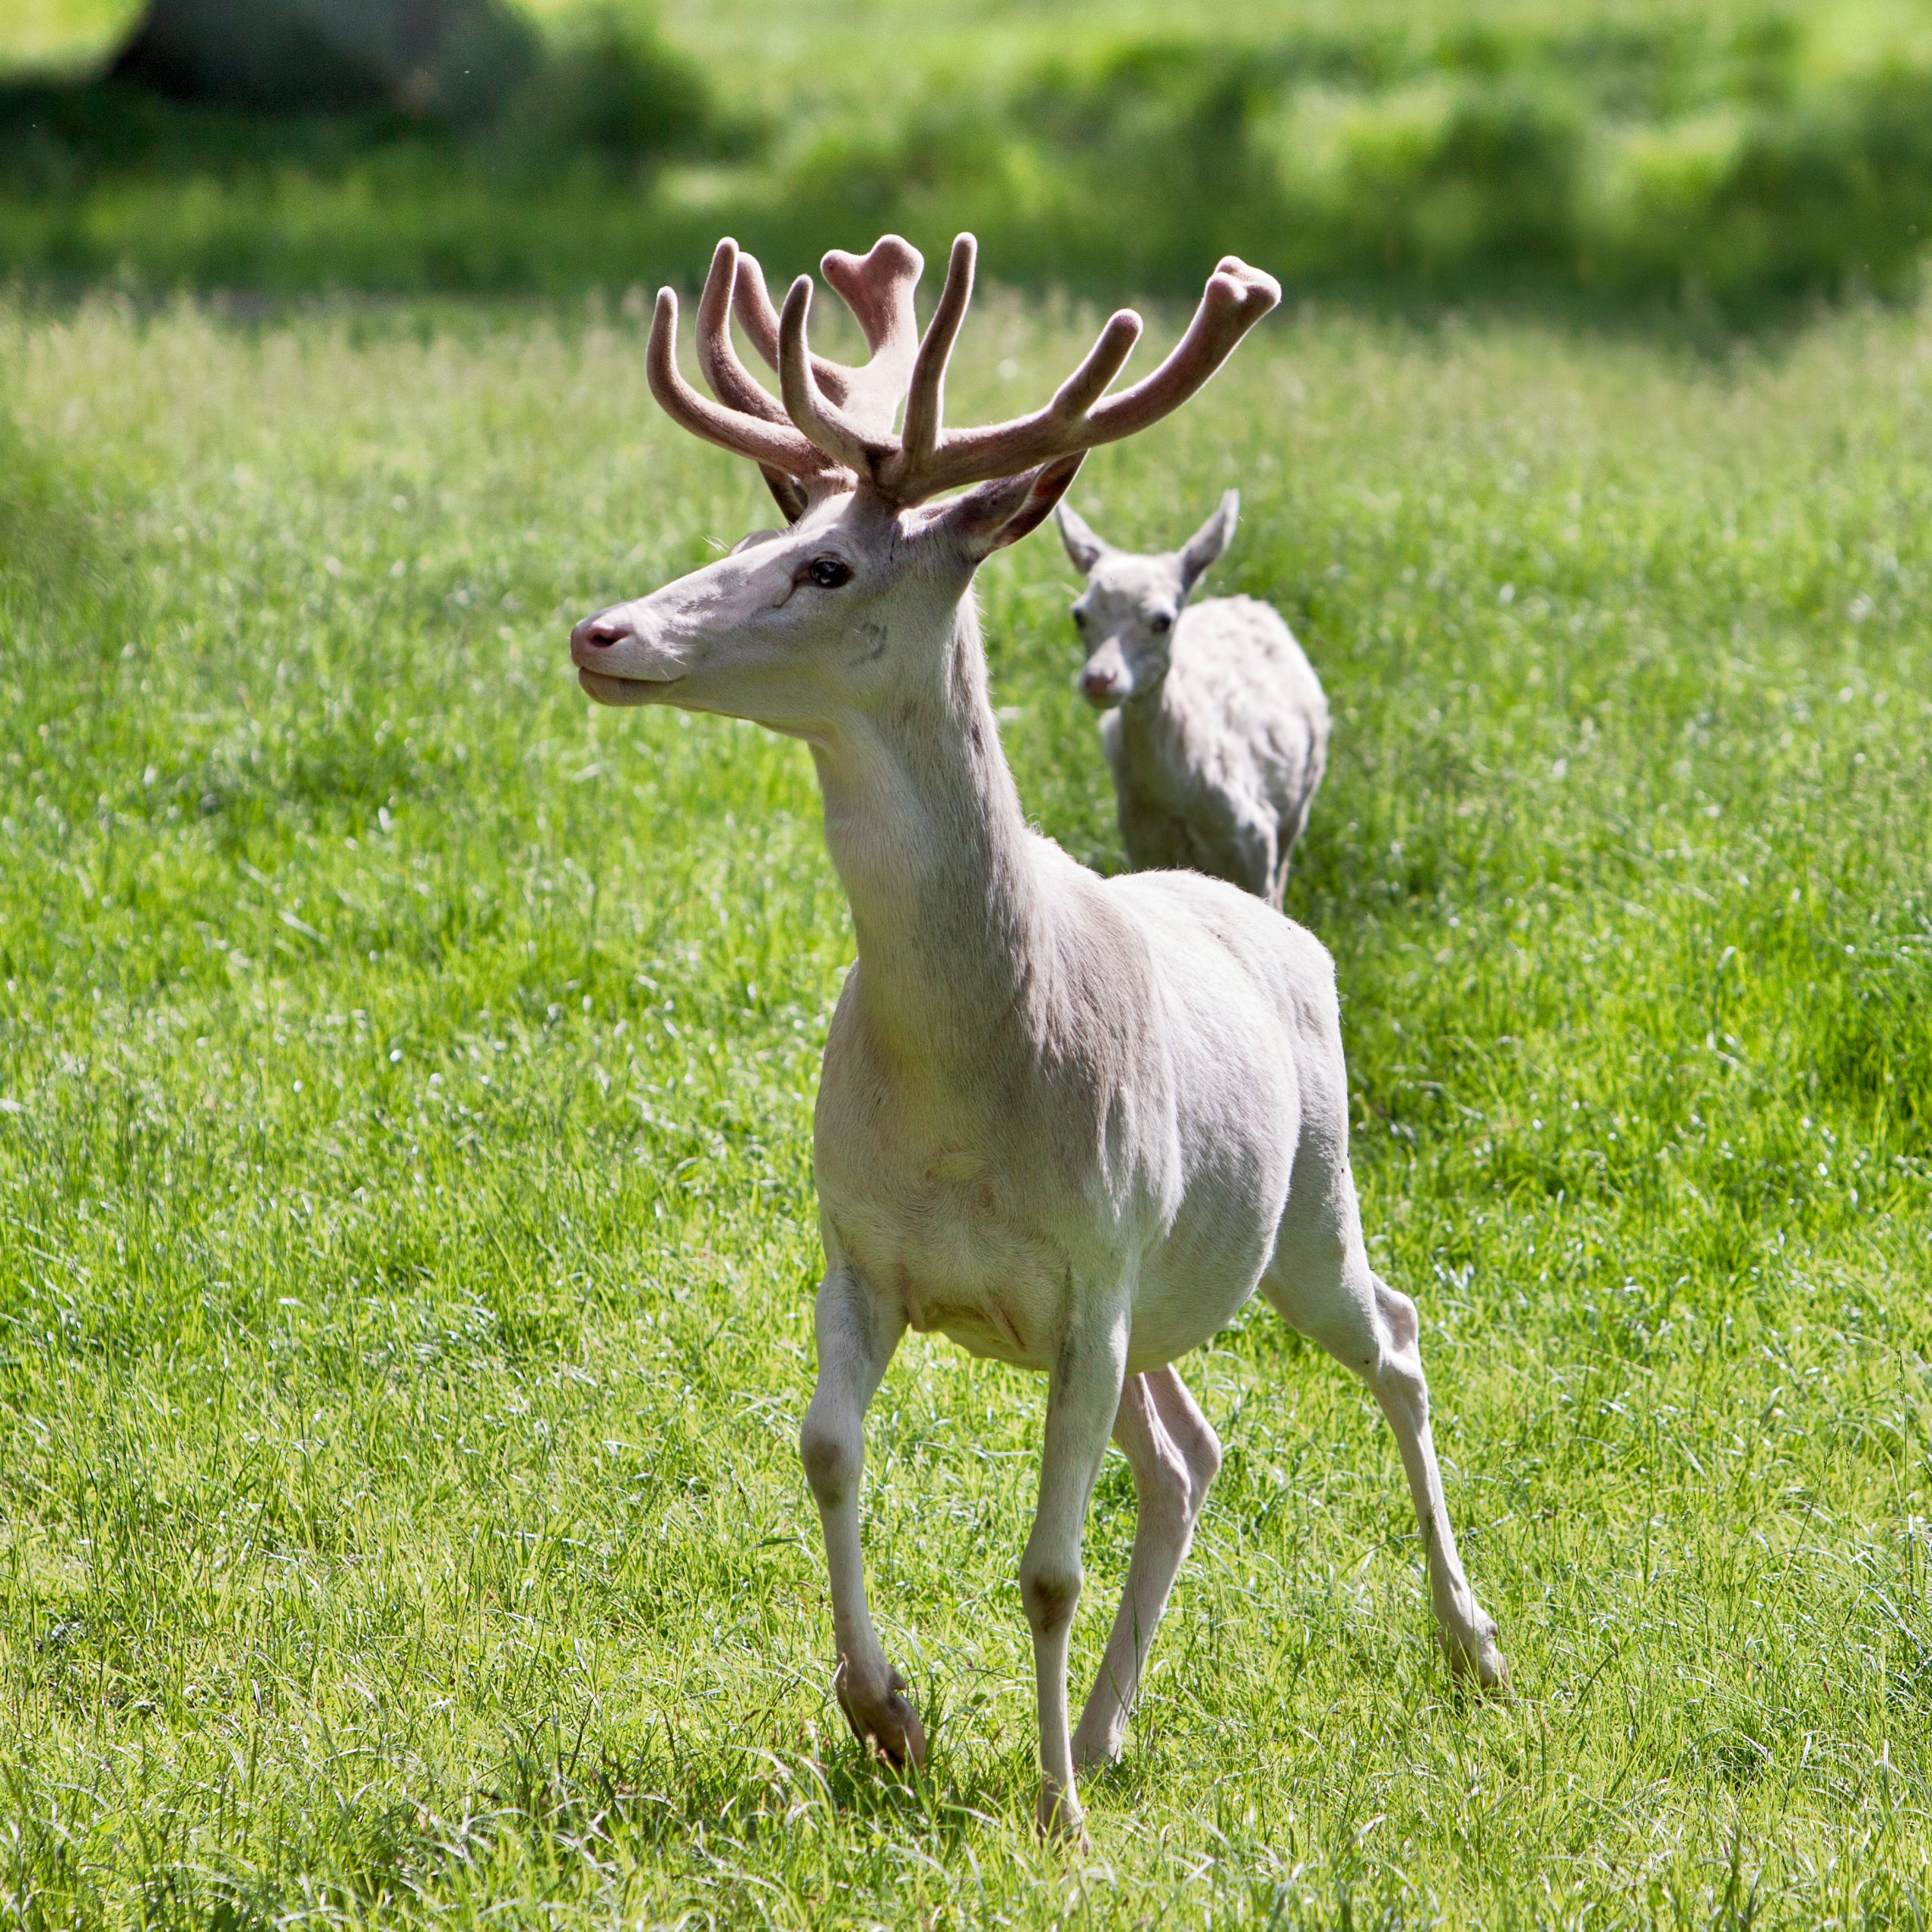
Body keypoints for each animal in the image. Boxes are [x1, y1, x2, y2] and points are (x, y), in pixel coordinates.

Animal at [1058, 483, 1329, 904]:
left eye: (1163, 621)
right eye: (1079, 615)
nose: (1100, 680)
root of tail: (1244, 602)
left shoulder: (1254, 843)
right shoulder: (1142, 844)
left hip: (1301, 797)